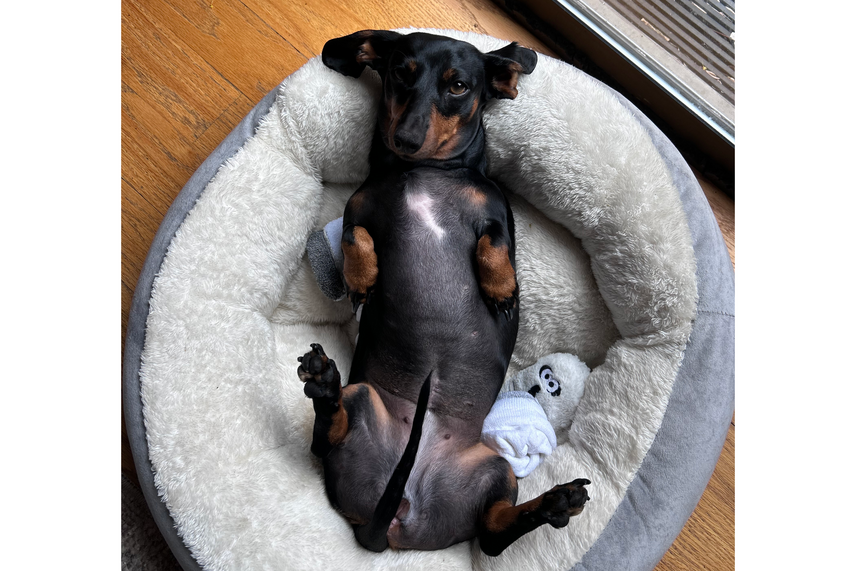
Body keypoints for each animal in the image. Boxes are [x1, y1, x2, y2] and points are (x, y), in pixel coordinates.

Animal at [296, 29, 588, 556]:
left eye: (457, 85)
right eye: (400, 71)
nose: (406, 139)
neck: (425, 172)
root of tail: (397, 518)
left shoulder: (497, 214)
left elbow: (494, 245)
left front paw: (502, 288)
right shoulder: (359, 207)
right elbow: (353, 235)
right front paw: (363, 279)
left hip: (494, 470)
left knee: (493, 533)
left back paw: (555, 503)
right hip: (364, 398)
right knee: (326, 437)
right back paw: (325, 385)